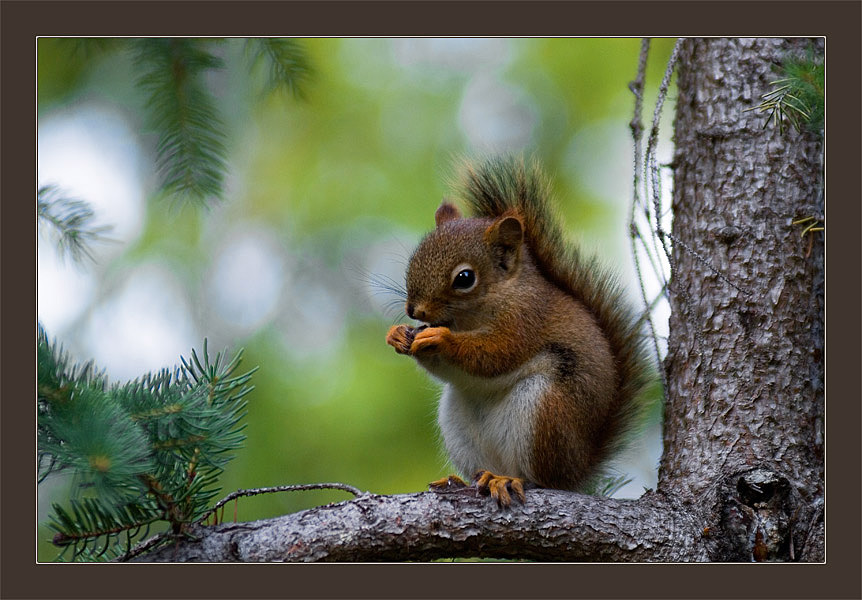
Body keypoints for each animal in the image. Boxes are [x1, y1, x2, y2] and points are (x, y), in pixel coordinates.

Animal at [388, 156, 652, 506]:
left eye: (465, 278)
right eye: (414, 259)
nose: (414, 311)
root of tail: (577, 470)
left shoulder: (525, 318)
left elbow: (497, 353)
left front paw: (440, 339)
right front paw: (397, 335)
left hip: (544, 412)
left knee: (543, 478)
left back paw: (512, 480)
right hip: (458, 424)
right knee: (482, 468)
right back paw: (466, 480)